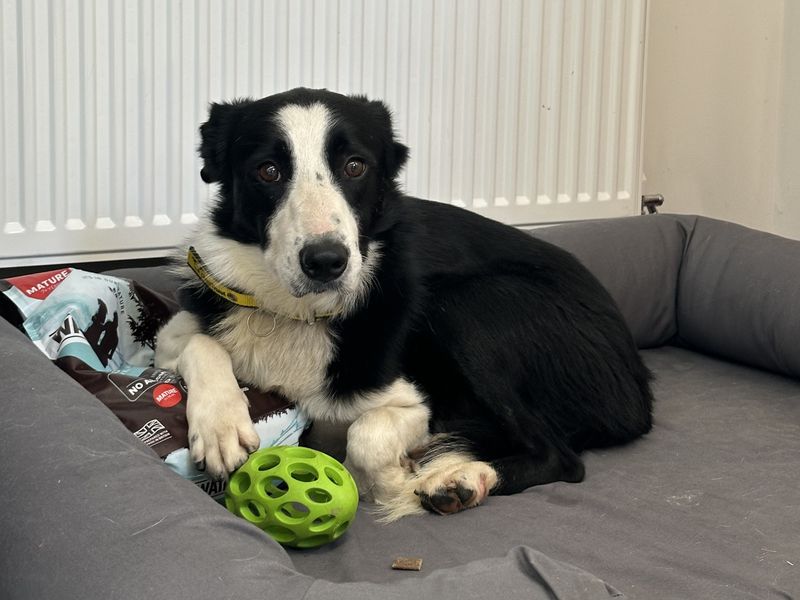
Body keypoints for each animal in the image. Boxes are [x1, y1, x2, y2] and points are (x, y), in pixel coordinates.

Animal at [155, 88, 648, 520]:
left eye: (355, 166)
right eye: (268, 171)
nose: (326, 262)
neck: (299, 313)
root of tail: (638, 392)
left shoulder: (419, 405)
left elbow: (365, 435)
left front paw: (393, 483)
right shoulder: (178, 327)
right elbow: (198, 343)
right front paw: (220, 424)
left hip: (468, 305)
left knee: (562, 458)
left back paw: (462, 478)